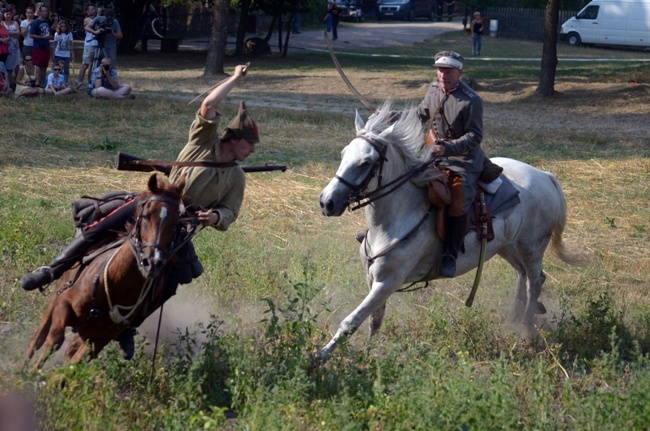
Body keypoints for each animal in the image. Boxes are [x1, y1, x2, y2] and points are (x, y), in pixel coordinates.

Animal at [23, 175, 185, 372]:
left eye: (176, 222)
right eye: (146, 215)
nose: (152, 262)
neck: (116, 284)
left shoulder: (100, 339)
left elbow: (74, 365)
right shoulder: (63, 304)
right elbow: (54, 340)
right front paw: (30, 375)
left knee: (69, 349)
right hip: (57, 294)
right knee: (37, 339)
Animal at [316, 104, 584, 364]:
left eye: (365, 162)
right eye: (343, 154)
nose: (327, 202)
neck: (398, 216)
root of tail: (545, 176)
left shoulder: (388, 282)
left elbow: (352, 320)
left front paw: (320, 356)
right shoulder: (374, 280)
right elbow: (374, 319)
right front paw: (367, 352)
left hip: (532, 247)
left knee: (535, 282)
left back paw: (525, 332)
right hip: (507, 246)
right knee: (524, 276)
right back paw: (512, 321)